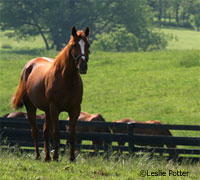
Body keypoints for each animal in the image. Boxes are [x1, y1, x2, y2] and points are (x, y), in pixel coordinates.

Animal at [11, 26, 90, 162]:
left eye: (88, 45)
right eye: (74, 45)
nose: (83, 66)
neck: (66, 80)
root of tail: (29, 65)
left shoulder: (75, 110)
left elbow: (72, 134)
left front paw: (72, 158)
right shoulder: (55, 108)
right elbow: (56, 132)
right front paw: (56, 157)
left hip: (47, 111)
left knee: (45, 131)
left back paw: (46, 156)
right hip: (32, 107)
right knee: (35, 131)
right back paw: (38, 155)